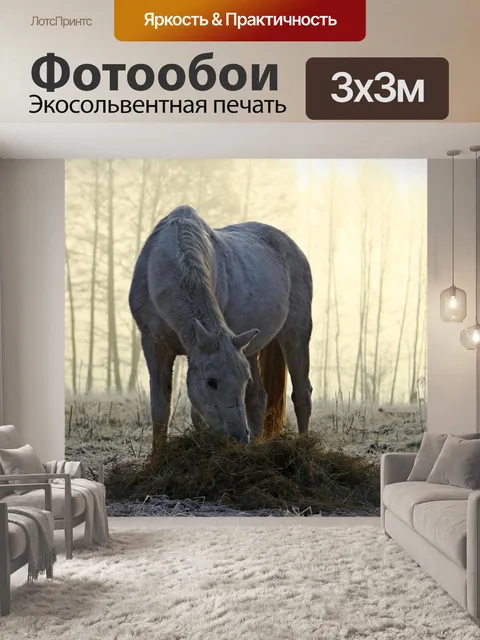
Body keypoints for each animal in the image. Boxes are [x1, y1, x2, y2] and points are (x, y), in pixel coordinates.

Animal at [129, 205, 313, 445]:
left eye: (242, 380)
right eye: (211, 382)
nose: (239, 437)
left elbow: (196, 415)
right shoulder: (154, 345)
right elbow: (160, 409)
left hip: (296, 334)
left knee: (302, 394)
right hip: (250, 348)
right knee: (258, 399)